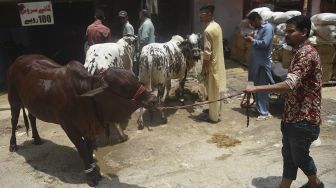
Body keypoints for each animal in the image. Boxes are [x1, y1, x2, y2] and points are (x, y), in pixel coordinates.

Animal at [6, 54, 156, 187]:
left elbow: (89, 150)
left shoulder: (90, 128)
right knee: (14, 121)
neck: (87, 98)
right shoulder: (69, 127)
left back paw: (37, 138)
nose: (153, 99)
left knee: (32, 117)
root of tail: (20, 58)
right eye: (125, 88)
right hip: (14, 99)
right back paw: (13, 145)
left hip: (31, 103)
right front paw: (90, 177)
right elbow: (83, 150)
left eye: (136, 80)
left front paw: (96, 172)